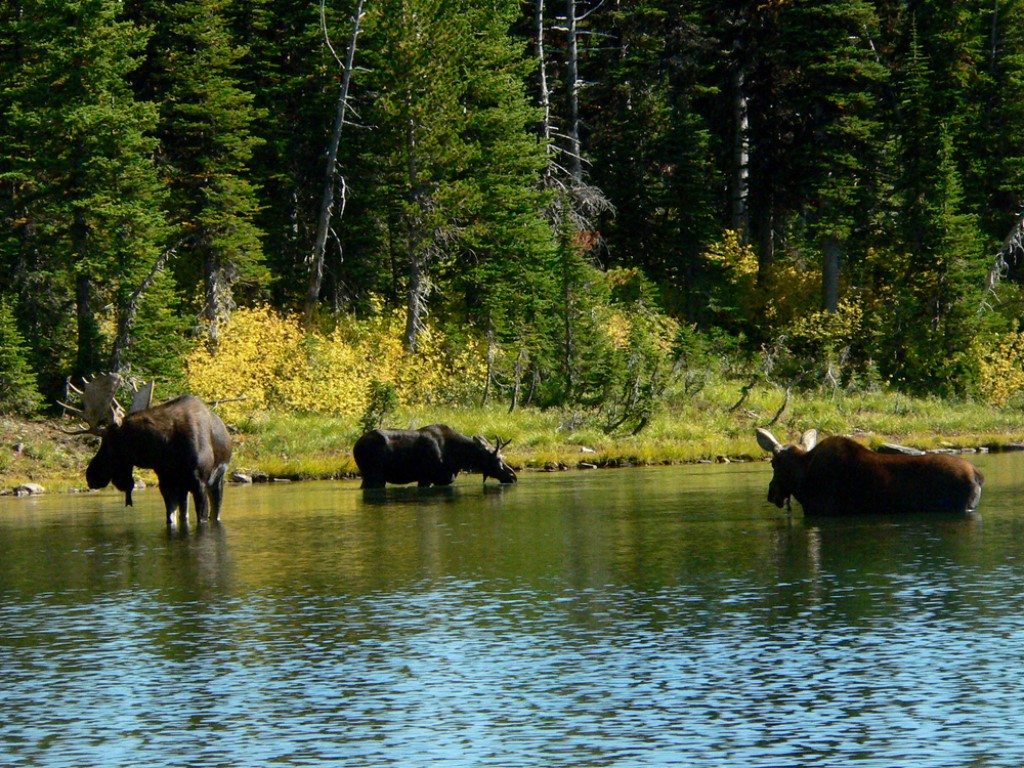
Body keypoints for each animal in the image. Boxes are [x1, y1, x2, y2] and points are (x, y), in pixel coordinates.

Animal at [62, 374, 233, 528]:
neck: (164, 448)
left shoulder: (199, 484)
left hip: (216, 480)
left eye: (109, 443)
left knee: (215, 513)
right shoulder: (167, 483)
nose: (90, 475)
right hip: (184, 487)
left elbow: (202, 519)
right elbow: (171, 519)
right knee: (184, 514)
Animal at [354, 423, 520, 489]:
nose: (513, 476)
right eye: (497, 459)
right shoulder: (425, 477)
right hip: (374, 475)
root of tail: (355, 447)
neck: (459, 459)